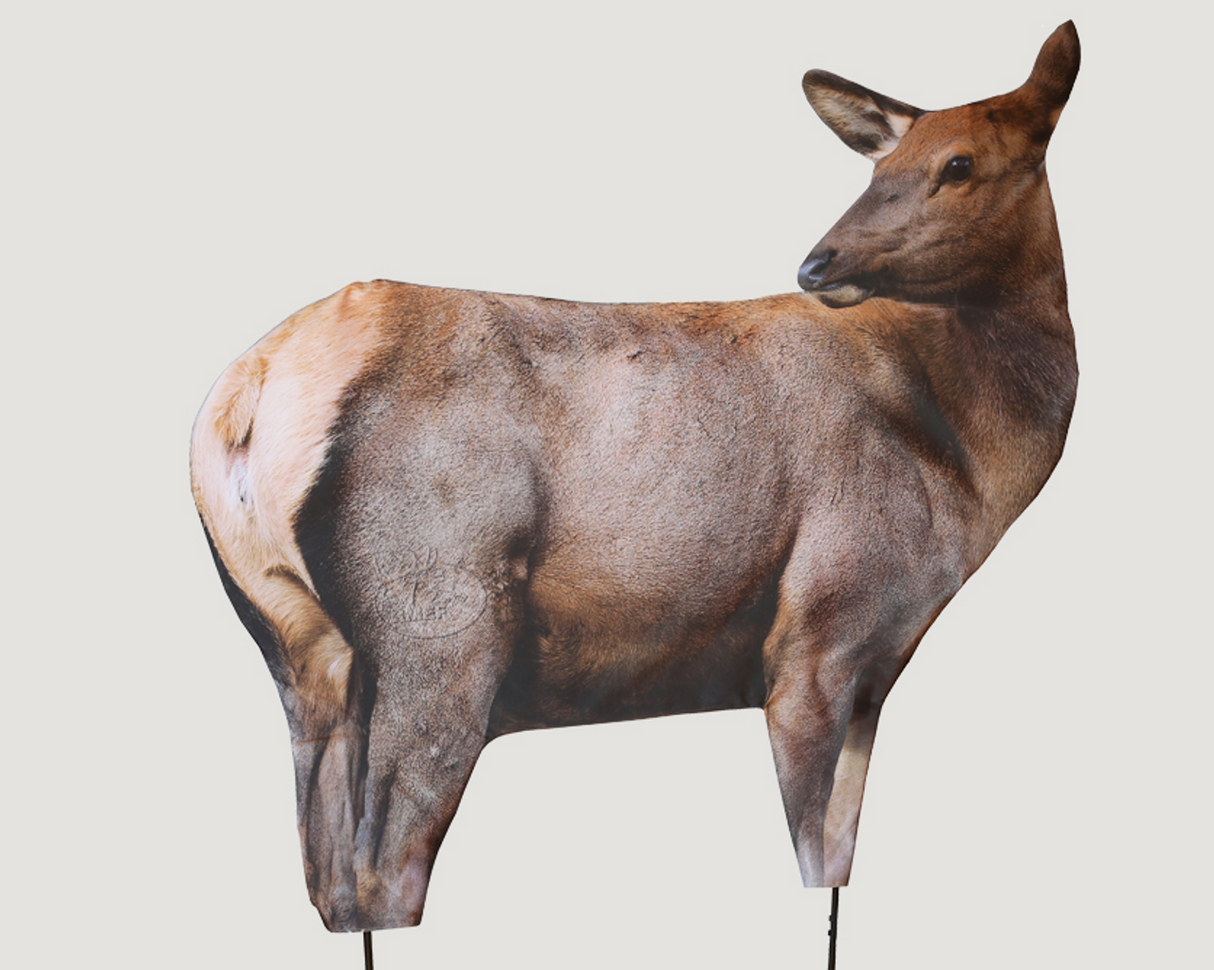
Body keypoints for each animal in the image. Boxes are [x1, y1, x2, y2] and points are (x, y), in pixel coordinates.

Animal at [191, 22, 1080, 933]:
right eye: (882, 166)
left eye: (958, 164)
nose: (818, 263)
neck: (967, 461)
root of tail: (246, 394)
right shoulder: (818, 635)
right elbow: (815, 860)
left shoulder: (874, 669)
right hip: (438, 622)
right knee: (383, 871)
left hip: (296, 648)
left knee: (327, 878)